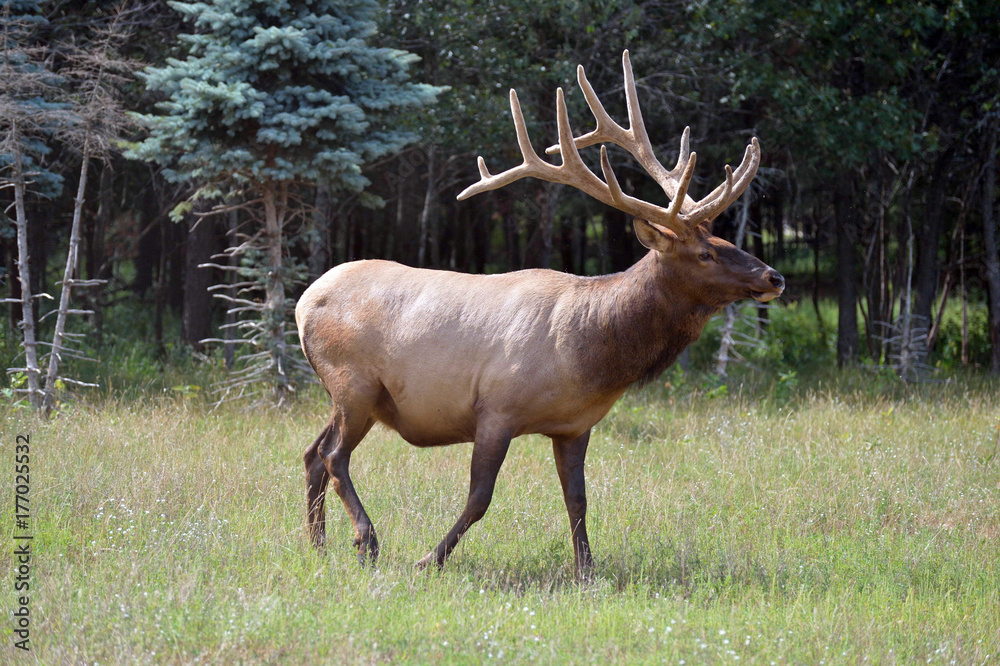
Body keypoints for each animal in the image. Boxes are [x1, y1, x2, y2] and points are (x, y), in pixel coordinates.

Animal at [295, 50, 784, 575]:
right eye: (705, 254)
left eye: (725, 239)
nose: (774, 277)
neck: (590, 360)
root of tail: (303, 303)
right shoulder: (496, 407)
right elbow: (479, 498)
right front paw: (429, 559)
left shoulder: (575, 425)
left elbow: (577, 499)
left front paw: (587, 570)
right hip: (353, 382)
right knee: (334, 456)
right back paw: (365, 540)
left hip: (352, 396)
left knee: (312, 453)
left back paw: (317, 544)